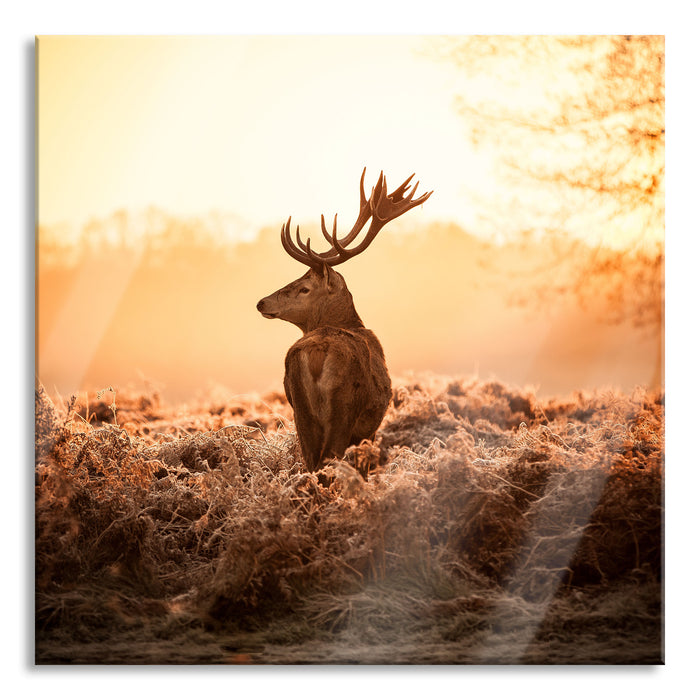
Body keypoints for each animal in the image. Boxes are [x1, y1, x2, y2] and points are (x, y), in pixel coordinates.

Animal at [256, 168, 432, 478]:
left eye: (304, 288)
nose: (262, 303)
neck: (351, 322)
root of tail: (315, 353)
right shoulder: (368, 428)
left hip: (300, 411)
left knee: (311, 463)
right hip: (344, 408)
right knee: (329, 462)